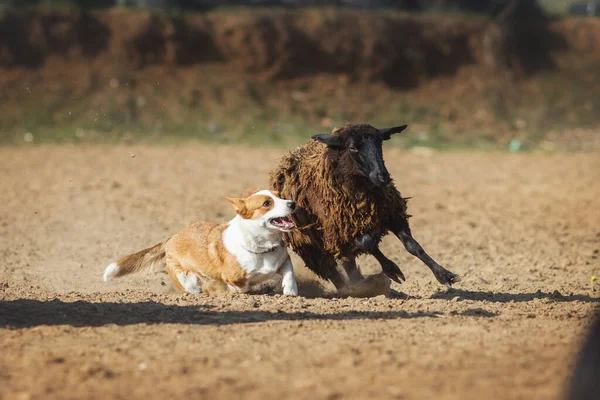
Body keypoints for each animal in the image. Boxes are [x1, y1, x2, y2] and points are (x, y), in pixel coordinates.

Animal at [105, 189, 300, 296]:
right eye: (266, 203)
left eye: (280, 196)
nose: (292, 203)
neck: (261, 247)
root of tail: (172, 238)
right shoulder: (233, 279)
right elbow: (240, 288)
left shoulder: (283, 259)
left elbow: (289, 273)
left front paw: (291, 292)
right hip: (187, 281)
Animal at [268, 123, 460, 290]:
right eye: (353, 148)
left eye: (380, 143)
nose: (383, 177)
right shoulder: (344, 229)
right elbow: (368, 242)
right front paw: (392, 270)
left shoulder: (392, 215)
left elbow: (413, 246)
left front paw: (445, 275)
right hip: (312, 244)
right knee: (330, 270)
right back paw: (350, 290)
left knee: (348, 263)